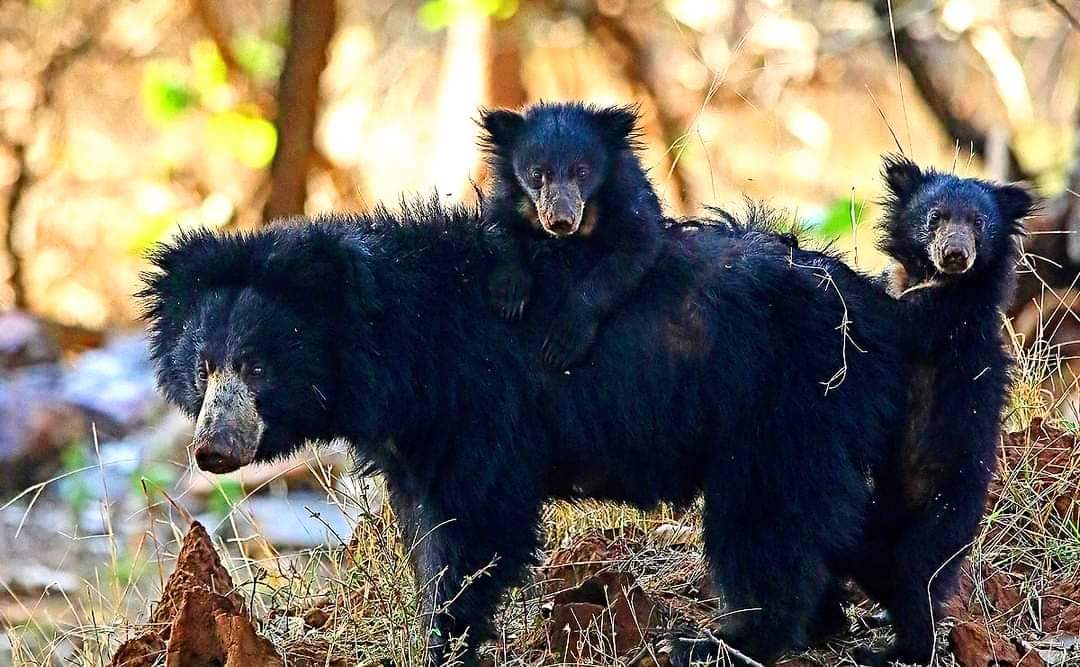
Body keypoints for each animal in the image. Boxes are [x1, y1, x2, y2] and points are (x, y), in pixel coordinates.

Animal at [139, 199, 907, 660]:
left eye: (258, 367)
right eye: (203, 366)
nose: (214, 448)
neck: (397, 347)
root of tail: (871, 305)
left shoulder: (480, 400)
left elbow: (476, 522)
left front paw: (448, 636)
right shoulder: (413, 434)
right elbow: (425, 522)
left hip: (776, 402)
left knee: (767, 520)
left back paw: (733, 638)